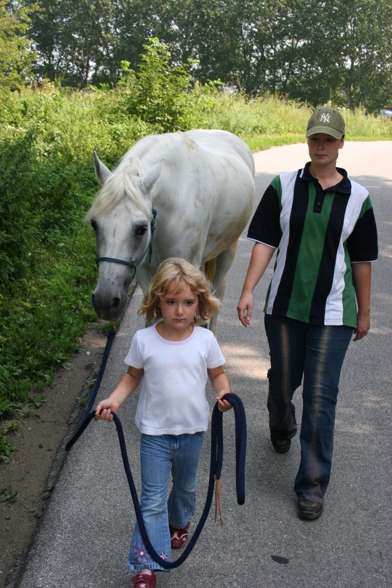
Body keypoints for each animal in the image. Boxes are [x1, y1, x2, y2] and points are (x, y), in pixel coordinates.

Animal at [86, 129, 256, 330]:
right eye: (94, 224)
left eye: (141, 229)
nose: (104, 302)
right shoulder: (144, 271)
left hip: (228, 248)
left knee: (218, 291)